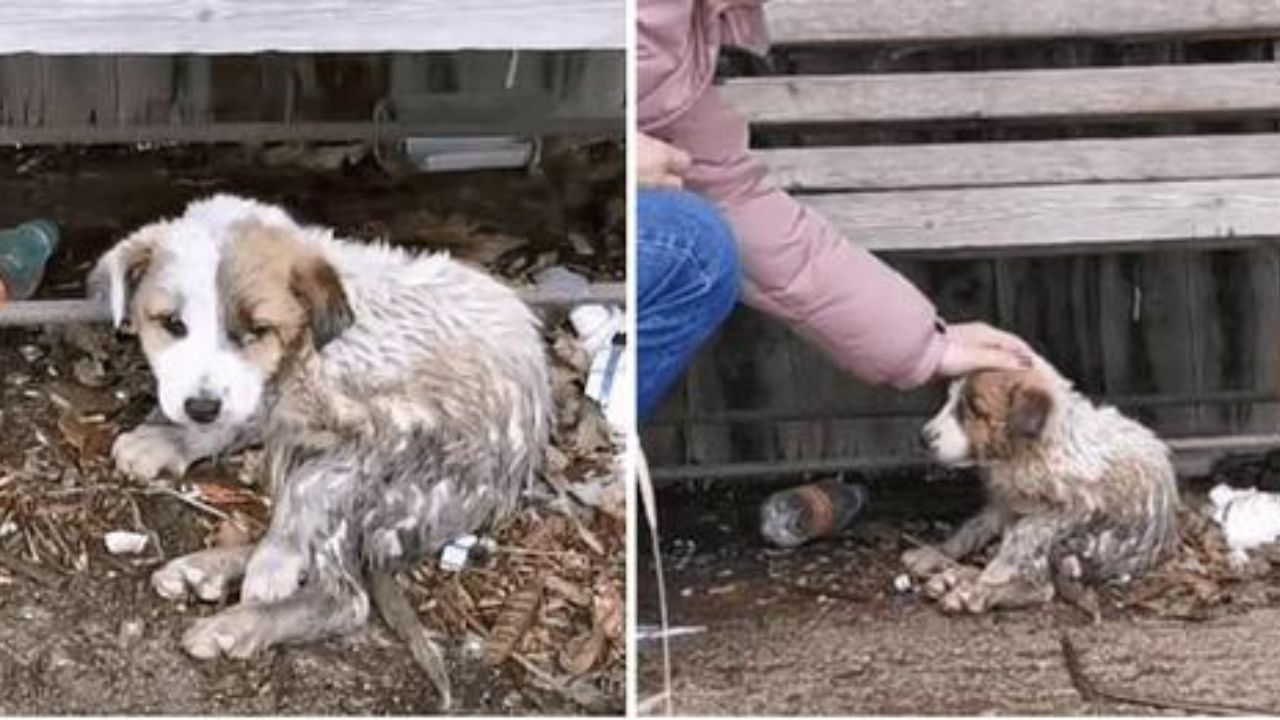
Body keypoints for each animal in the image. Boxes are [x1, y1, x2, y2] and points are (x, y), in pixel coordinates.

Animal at [88, 193, 550, 702]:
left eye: (256, 330)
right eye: (172, 324)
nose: (201, 407)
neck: (308, 347)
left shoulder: (394, 429)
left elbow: (310, 489)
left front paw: (275, 562)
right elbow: (250, 414)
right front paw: (170, 438)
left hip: (411, 485)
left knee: (344, 593)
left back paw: (239, 620)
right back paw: (205, 571)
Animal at [901, 353, 1177, 609]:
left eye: (974, 410)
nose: (923, 438)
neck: (1028, 452)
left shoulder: (1076, 507)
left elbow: (1027, 533)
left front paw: (990, 576)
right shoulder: (1004, 503)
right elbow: (972, 528)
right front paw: (933, 552)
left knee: (1042, 587)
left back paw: (972, 592)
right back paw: (952, 578)